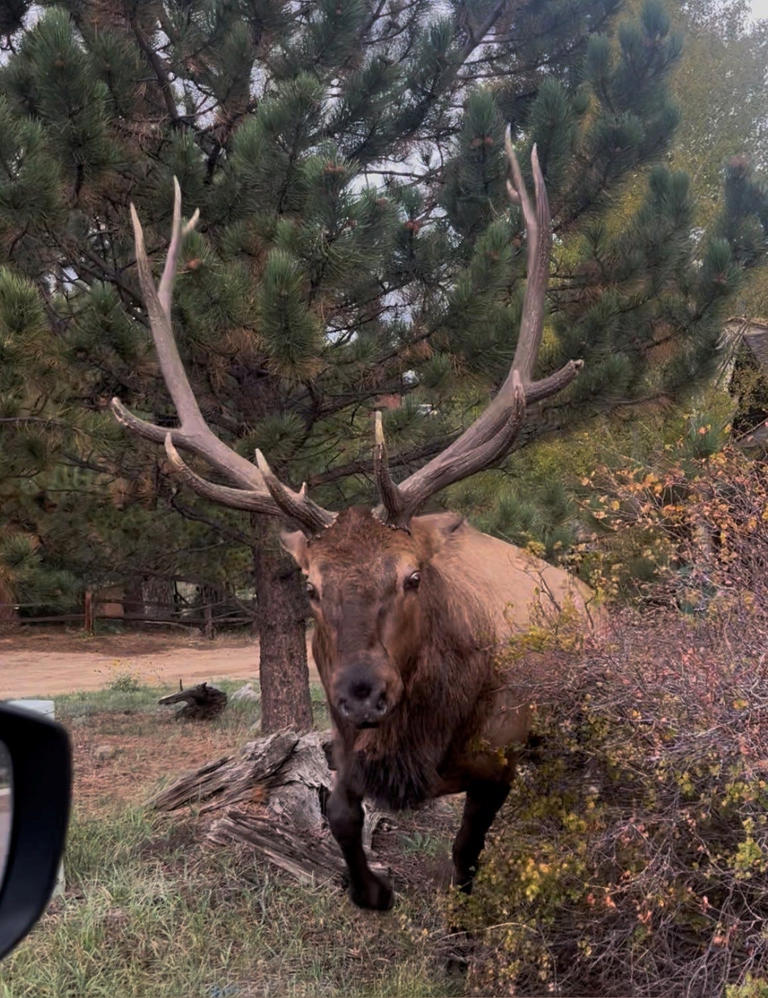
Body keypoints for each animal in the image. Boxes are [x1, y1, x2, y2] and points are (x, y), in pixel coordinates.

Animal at [112, 127, 592, 909]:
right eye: (309, 586)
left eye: (412, 577)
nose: (361, 692)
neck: (417, 750)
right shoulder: (343, 747)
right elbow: (338, 810)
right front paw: (372, 890)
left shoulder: (499, 758)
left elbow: (465, 856)